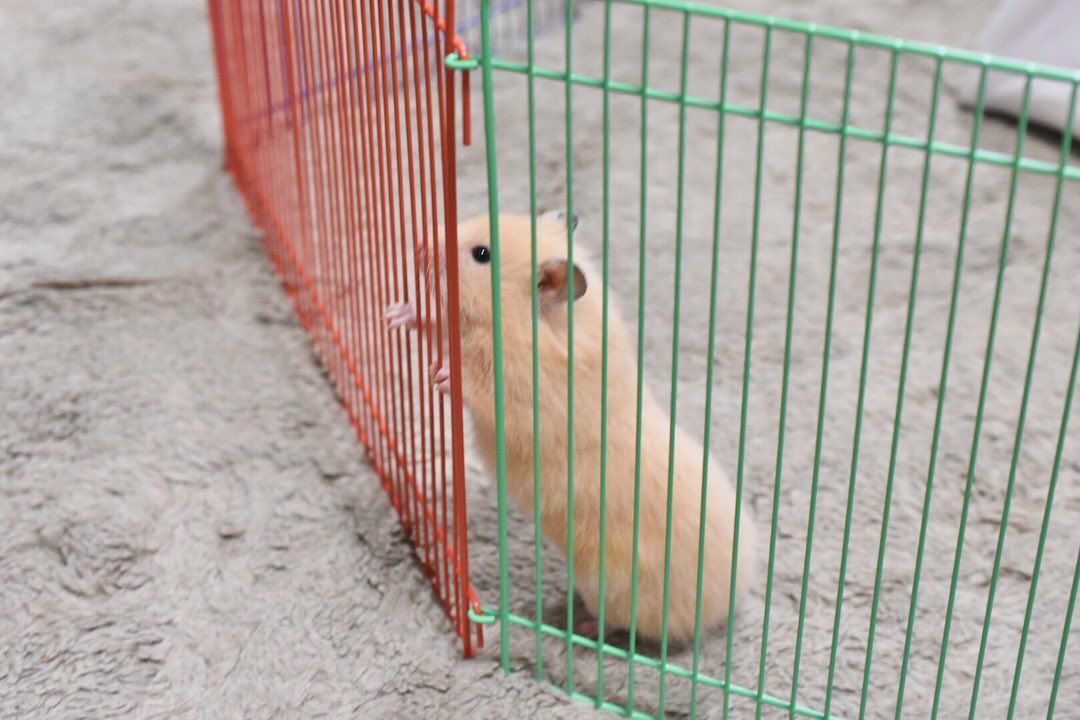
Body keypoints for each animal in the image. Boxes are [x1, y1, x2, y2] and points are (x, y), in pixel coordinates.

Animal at [387, 212, 755, 645]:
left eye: (481, 254)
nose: (420, 242)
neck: (527, 319)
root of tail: (723, 604)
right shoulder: (459, 331)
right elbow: (437, 325)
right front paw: (396, 312)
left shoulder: (515, 392)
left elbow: (473, 383)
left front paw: (441, 376)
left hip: (612, 590)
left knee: (619, 624)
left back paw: (580, 626)